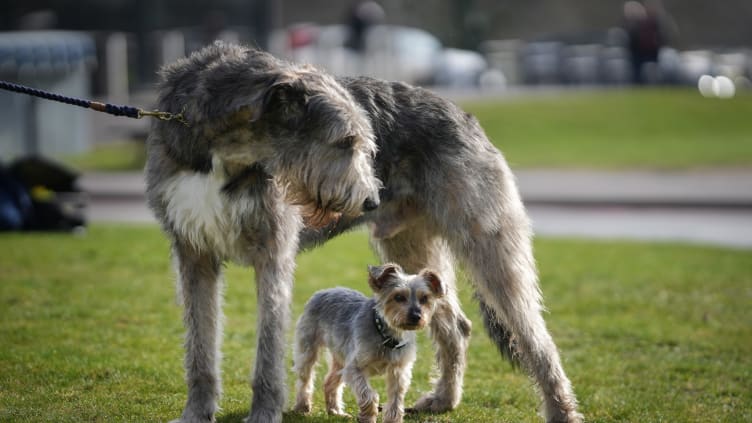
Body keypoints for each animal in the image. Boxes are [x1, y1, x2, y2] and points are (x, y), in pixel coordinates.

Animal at [145, 42, 580, 423]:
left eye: (365, 144)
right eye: (344, 141)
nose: (371, 200)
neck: (221, 153)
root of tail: (462, 112)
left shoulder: (273, 253)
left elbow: (267, 349)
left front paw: (264, 413)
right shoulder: (192, 253)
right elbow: (199, 348)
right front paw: (195, 413)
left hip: (487, 240)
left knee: (536, 337)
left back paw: (561, 409)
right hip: (408, 245)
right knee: (456, 326)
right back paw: (443, 399)